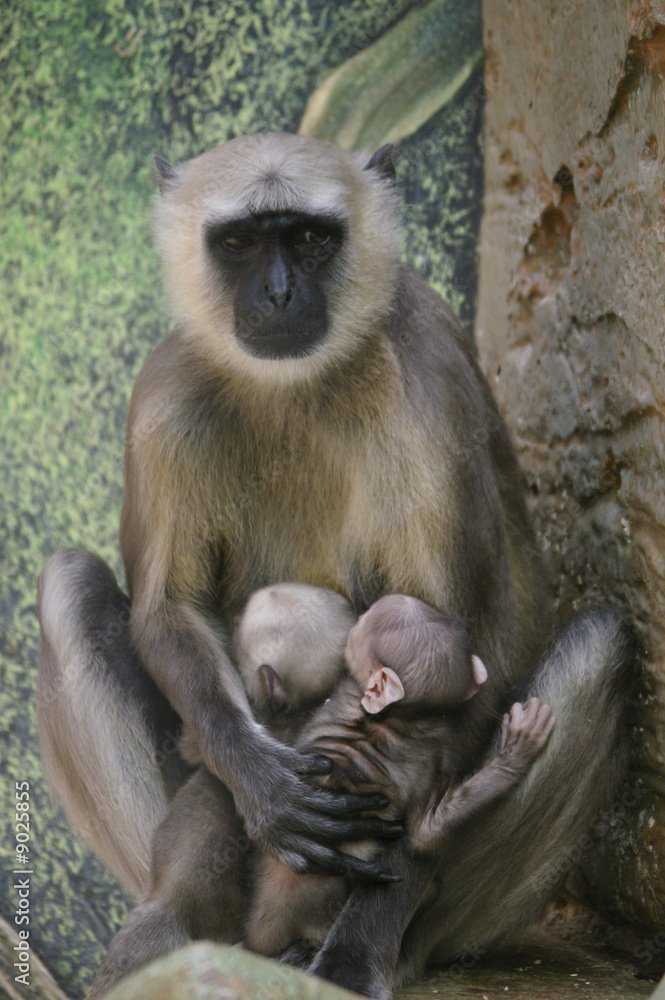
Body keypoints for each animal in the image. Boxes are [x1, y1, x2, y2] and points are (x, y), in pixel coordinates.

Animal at [236, 584, 552, 960]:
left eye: (357, 634)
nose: (358, 615)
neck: (396, 716)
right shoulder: (434, 749)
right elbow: (426, 831)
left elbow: (426, 834)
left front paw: (516, 751)